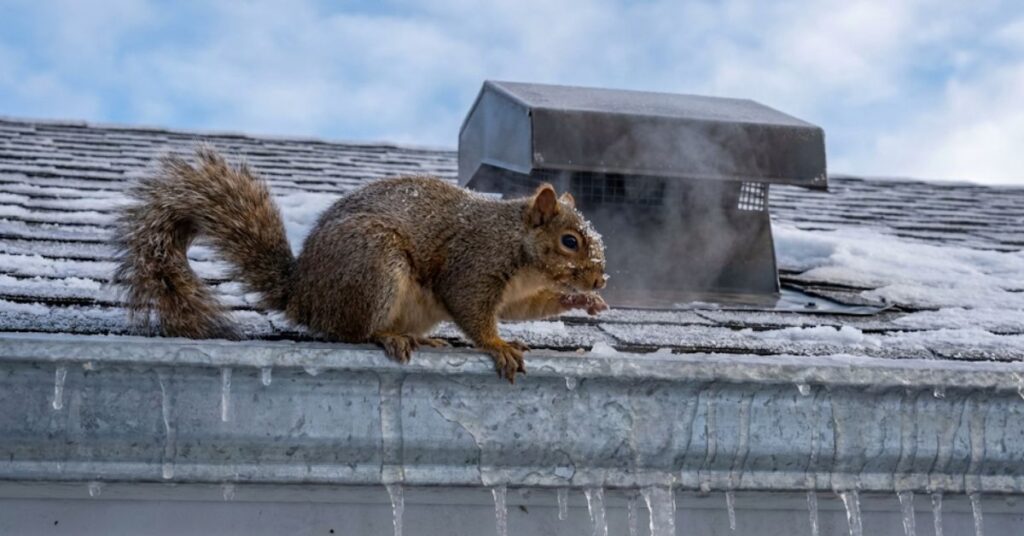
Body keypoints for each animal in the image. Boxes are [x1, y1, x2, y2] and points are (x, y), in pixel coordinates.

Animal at [113, 147, 608, 382]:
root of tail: (303, 295)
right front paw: (498, 345)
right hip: (374, 265)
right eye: (569, 241)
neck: (520, 250)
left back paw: (420, 339)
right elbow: (470, 308)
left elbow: (527, 309)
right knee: (353, 332)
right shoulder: (474, 265)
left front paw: (583, 303)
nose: (601, 277)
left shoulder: (516, 293)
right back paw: (388, 337)